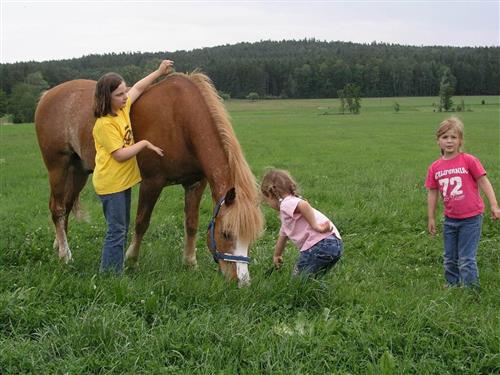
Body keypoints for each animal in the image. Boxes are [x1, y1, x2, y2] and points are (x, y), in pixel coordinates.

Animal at [34, 72, 262, 286]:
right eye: (225, 234)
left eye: (251, 238)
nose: (242, 282)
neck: (181, 120)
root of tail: (48, 95)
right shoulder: (152, 182)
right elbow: (141, 222)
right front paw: (131, 260)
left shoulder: (195, 183)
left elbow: (191, 223)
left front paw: (190, 263)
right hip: (58, 167)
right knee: (57, 208)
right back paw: (65, 255)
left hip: (78, 171)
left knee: (65, 206)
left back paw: (58, 245)